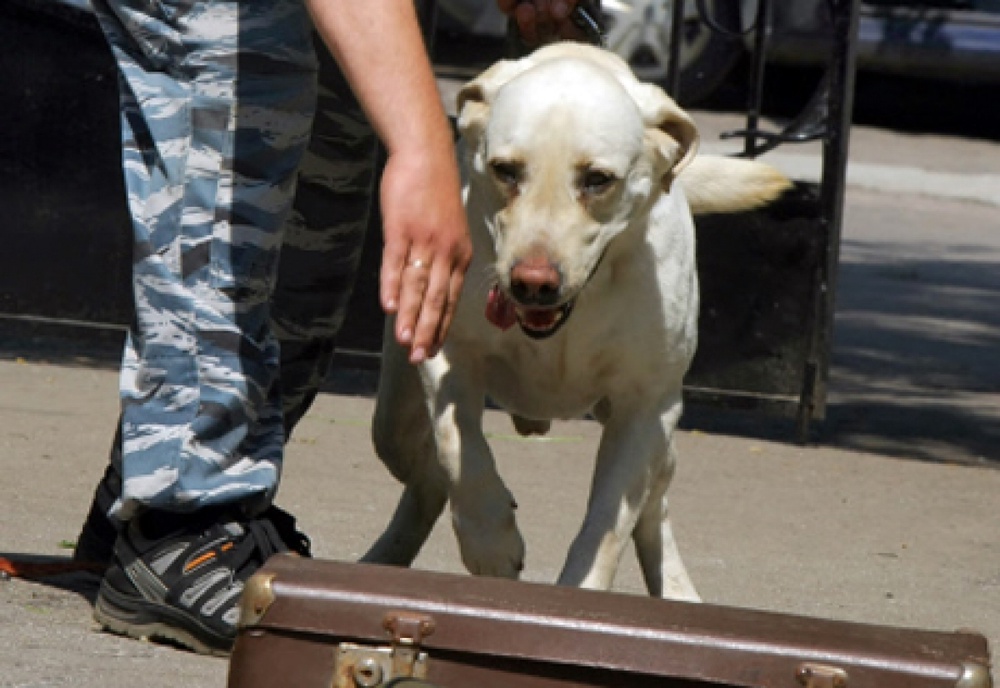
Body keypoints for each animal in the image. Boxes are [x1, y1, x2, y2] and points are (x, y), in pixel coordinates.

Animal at [360, 44, 788, 600]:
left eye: (597, 179)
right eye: (505, 170)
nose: (532, 282)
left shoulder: (644, 407)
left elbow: (610, 522)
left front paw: (580, 592)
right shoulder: (448, 354)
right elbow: (460, 448)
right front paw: (491, 543)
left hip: (660, 429)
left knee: (654, 502)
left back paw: (676, 589)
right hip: (393, 408)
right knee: (419, 465)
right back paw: (386, 555)